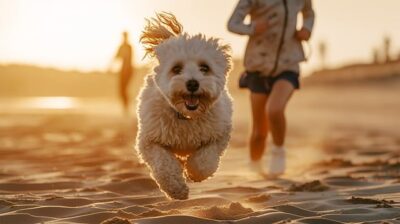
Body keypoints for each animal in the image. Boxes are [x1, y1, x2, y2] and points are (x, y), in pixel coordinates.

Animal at [135, 12, 233, 200]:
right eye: (176, 68)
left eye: (204, 68)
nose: (193, 83)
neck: (186, 116)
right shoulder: (149, 140)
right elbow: (163, 164)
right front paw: (176, 188)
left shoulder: (219, 134)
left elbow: (204, 161)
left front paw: (193, 172)